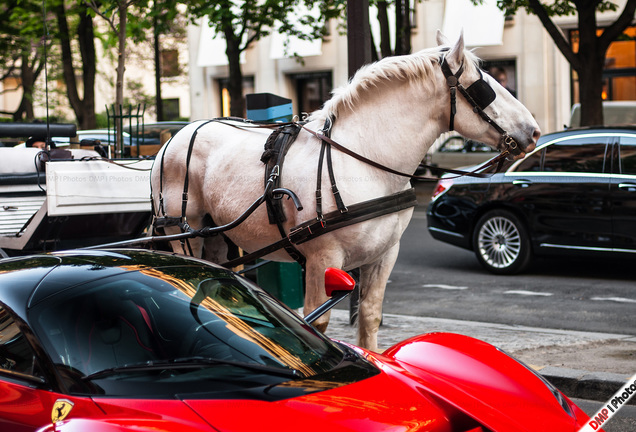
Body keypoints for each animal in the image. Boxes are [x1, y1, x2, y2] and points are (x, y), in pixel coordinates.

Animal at [152, 33, 540, 352]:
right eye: (484, 87)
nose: (534, 131)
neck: (365, 160)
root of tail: (173, 137)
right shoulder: (323, 259)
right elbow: (316, 322)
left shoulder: (384, 254)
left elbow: (369, 316)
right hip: (182, 230)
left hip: (216, 235)